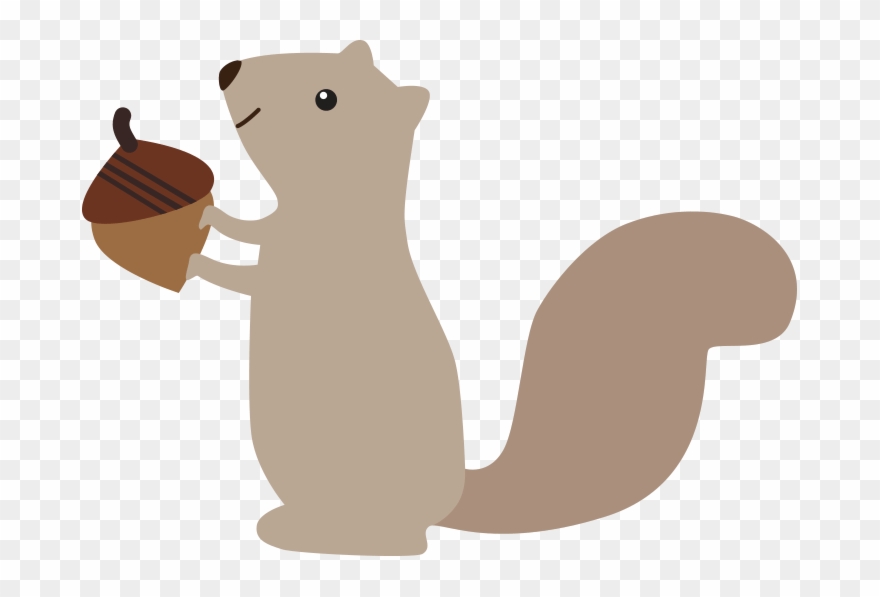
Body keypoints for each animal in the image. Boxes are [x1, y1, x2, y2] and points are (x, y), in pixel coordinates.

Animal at [184, 40, 798, 556]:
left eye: (326, 98)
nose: (227, 69)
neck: (333, 201)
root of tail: (451, 499)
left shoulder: (291, 267)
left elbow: (246, 277)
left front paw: (197, 263)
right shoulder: (276, 232)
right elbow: (250, 231)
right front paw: (211, 217)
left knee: (399, 542)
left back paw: (309, 535)